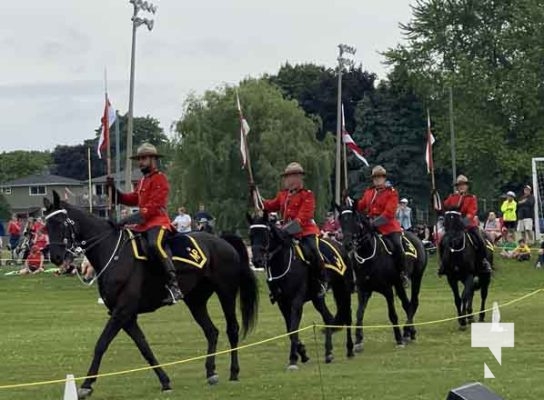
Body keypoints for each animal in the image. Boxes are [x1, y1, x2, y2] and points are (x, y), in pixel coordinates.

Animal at [42, 192, 260, 398]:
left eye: (60, 223)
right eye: (46, 225)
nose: (56, 257)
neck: (113, 254)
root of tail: (222, 240)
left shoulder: (122, 311)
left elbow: (101, 344)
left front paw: (86, 385)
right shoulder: (126, 316)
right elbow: (144, 347)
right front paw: (165, 381)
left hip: (226, 292)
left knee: (232, 329)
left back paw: (233, 372)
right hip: (195, 300)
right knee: (211, 331)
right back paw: (211, 372)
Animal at [249, 212, 354, 368]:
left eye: (265, 234)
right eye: (251, 234)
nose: (257, 261)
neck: (284, 261)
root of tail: (341, 246)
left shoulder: (296, 301)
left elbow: (293, 329)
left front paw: (293, 358)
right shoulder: (282, 303)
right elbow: (289, 330)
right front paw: (303, 353)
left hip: (343, 289)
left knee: (346, 315)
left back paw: (350, 349)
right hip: (317, 298)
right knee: (328, 317)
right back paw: (328, 352)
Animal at [338, 205, 428, 348]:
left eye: (355, 221)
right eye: (341, 221)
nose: (348, 244)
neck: (368, 255)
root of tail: (417, 239)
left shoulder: (387, 290)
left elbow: (392, 314)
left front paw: (398, 339)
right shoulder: (363, 290)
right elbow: (359, 313)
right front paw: (358, 340)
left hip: (416, 278)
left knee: (413, 302)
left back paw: (406, 331)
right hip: (399, 284)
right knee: (407, 304)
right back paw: (410, 332)